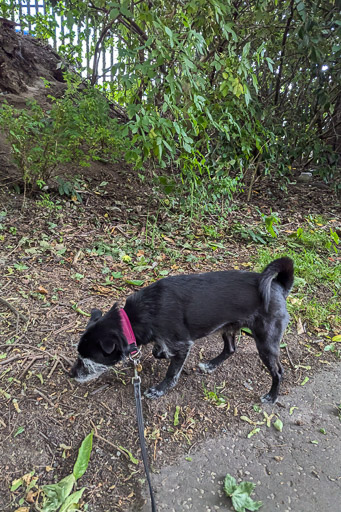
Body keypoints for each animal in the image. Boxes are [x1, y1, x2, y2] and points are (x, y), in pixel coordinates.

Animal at [68, 258, 292, 402]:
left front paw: (159, 390)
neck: (137, 316)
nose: (70, 375)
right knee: (230, 349)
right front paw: (160, 353)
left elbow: (171, 373)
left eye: (87, 360)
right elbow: (159, 352)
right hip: (227, 328)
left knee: (279, 371)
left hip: (266, 342)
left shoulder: (183, 345)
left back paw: (272, 396)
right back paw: (211, 365)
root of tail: (279, 286)